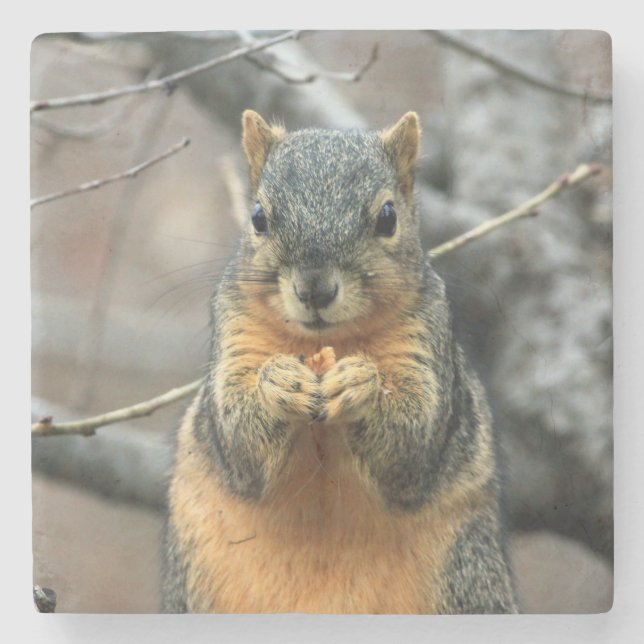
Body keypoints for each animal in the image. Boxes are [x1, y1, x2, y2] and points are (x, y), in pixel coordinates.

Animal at [161, 110, 518, 614]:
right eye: (258, 217)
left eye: (388, 217)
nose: (314, 289)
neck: (324, 343)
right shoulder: (234, 332)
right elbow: (236, 436)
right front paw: (278, 384)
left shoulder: (425, 338)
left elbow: (414, 438)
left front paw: (360, 386)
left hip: (468, 576)